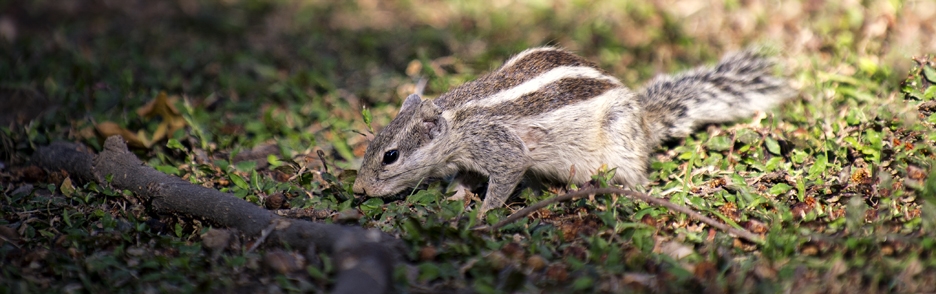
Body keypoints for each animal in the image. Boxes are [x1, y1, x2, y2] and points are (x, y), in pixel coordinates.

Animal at [352, 47, 788, 215]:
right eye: (373, 145)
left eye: (390, 156)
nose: (358, 190)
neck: (458, 121)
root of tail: (645, 123)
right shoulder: (471, 157)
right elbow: (465, 177)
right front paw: (456, 197)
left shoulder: (501, 149)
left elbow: (506, 176)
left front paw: (484, 214)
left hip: (619, 142)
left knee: (636, 176)